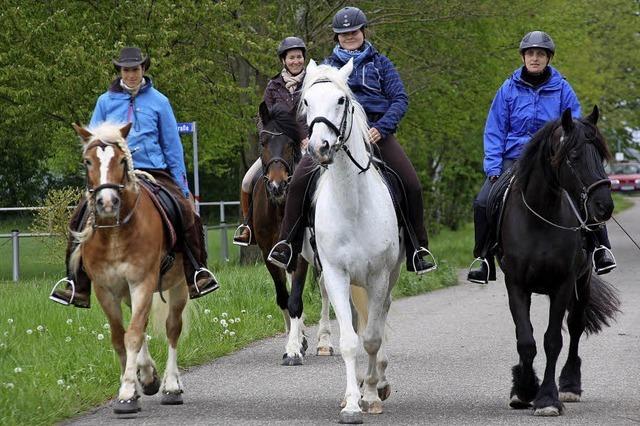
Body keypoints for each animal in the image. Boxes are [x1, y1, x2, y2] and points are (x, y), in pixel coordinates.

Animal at [71, 121, 190, 414]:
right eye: (87, 161)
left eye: (122, 160)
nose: (107, 202)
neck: (115, 233)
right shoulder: (106, 290)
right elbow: (120, 337)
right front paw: (136, 384)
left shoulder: (142, 283)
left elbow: (133, 335)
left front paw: (126, 393)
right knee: (142, 323)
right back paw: (147, 375)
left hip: (179, 286)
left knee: (172, 328)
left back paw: (171, 385)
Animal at [251, 101, 336, 364]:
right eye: (263, 141)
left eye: (290, 143)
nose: (277, 186)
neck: (280, 208)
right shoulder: (269, 253)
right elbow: (283, 298)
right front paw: (296, 340)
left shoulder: (301, 254)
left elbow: (296, 299)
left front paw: (293, 349)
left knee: (325, 288)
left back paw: (324, 342)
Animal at [298, 59, 400, 422]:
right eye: (306, 102)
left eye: (342, 100)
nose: (319, 147)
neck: (353, 205)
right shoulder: (336, 274)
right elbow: (349, 341)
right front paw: (353, 402)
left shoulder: (379, 276)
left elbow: (371, 338)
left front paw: (370, 394)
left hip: (387, 277)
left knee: (378, 321)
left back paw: (379, 382)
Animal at [500, 106, 620, 416]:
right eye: (574, 156)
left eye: (600, 154)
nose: (605, 206)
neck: (540, 216)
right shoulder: (516, 284)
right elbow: (526, 340)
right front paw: (523, 389)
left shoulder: (563, 285)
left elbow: (553, 340)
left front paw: (547, 399)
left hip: (583, 282)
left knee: (576, 327)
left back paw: (570, 385)